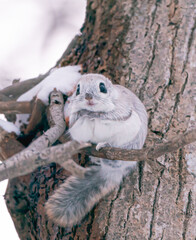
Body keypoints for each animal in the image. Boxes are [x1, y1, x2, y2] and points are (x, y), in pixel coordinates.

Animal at [45, 73, 148, 227]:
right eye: (78, 89)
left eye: (102, 87)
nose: (88, 97)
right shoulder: (75, 123)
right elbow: (75, 118)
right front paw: (80, 114)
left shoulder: (123, 108)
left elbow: (111, 114)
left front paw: (91, 114)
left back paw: (104, 144)